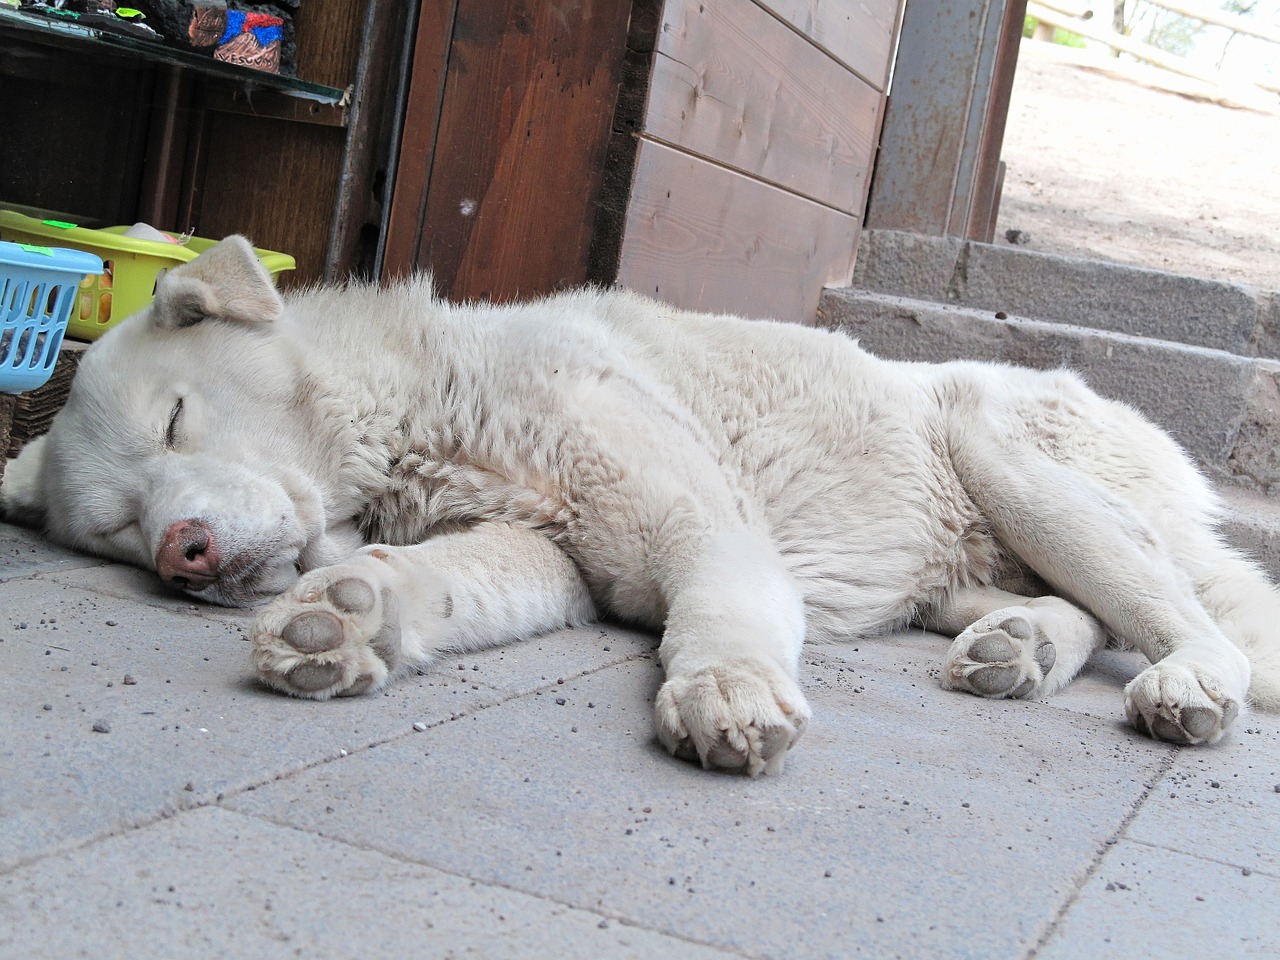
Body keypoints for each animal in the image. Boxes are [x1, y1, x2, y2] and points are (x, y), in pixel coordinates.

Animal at [2, 236, 1280, 778]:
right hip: (960, 568)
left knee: (1182, 615)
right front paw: (346, 620)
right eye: (118, 528)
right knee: (1091, 614)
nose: (184, 553)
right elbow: (440, 584)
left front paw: (723, 691)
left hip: (1003, 450)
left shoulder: (695, 525)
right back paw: (1021, 648)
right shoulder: (548, 557)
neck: (431, 404)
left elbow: (715, 615)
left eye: (178, 420)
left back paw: (1187, 684)